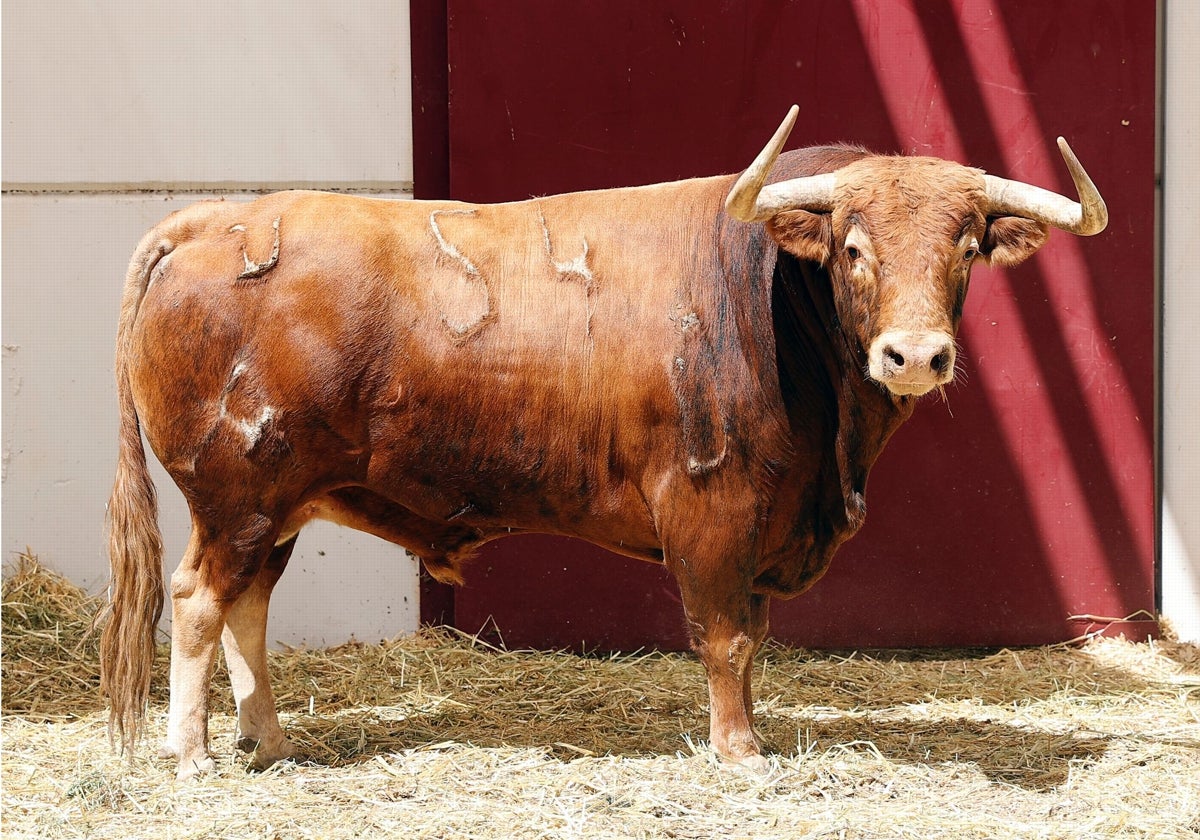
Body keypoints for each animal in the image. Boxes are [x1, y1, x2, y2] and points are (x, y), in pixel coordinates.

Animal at [100, 106, 1104, 782]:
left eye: (967, 249)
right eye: (853, 248)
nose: (916, 355)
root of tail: (208, 219)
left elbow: (755, 639)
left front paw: (752, 735)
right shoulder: (711, 513)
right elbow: (726, 640)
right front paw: (738, 753)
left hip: (279, 506)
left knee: (249, 606)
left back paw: (268, 742)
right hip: (235, 497)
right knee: (198, 602)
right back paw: (192, 755)